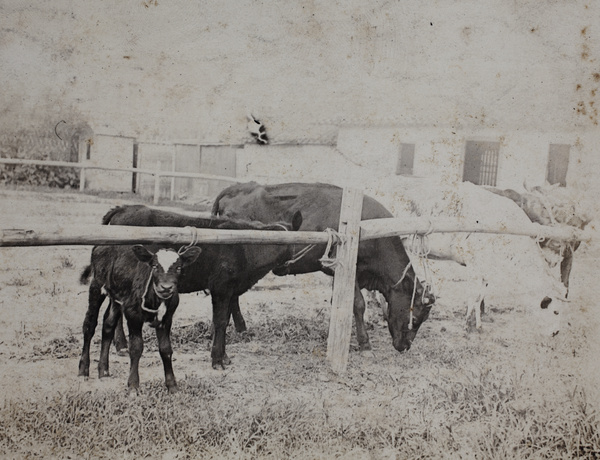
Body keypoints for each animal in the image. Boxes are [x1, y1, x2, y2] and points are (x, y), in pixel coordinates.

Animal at [78, 243, 202, 394]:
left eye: (179, 267)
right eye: (154, 266)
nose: (166, 287)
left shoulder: (167, 318)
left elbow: (166, 350)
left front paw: (172, 386)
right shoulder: (133, 314)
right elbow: (136, 347)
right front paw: (133, 385)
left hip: (117, 297)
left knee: (108, 324)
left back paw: (104, 371)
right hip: (96, 286)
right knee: (89, 325)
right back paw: (83, 370)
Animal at [81, 207, 300, 372]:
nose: (284, 268)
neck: (246, 246)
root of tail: (123, 208)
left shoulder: (231, 290)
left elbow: (226, 319)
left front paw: (224, 357)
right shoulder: (221, 287)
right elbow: (220, 321)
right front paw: (217, 360)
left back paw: (121, 346)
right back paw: (122, 346)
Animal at [212, 181, 436, 352]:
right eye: (416, 318)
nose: (405, 346)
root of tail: (236, 188)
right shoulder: (344, 268)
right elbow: (358, 304)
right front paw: (364, 342)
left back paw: (241, 327)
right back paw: (240, 326)